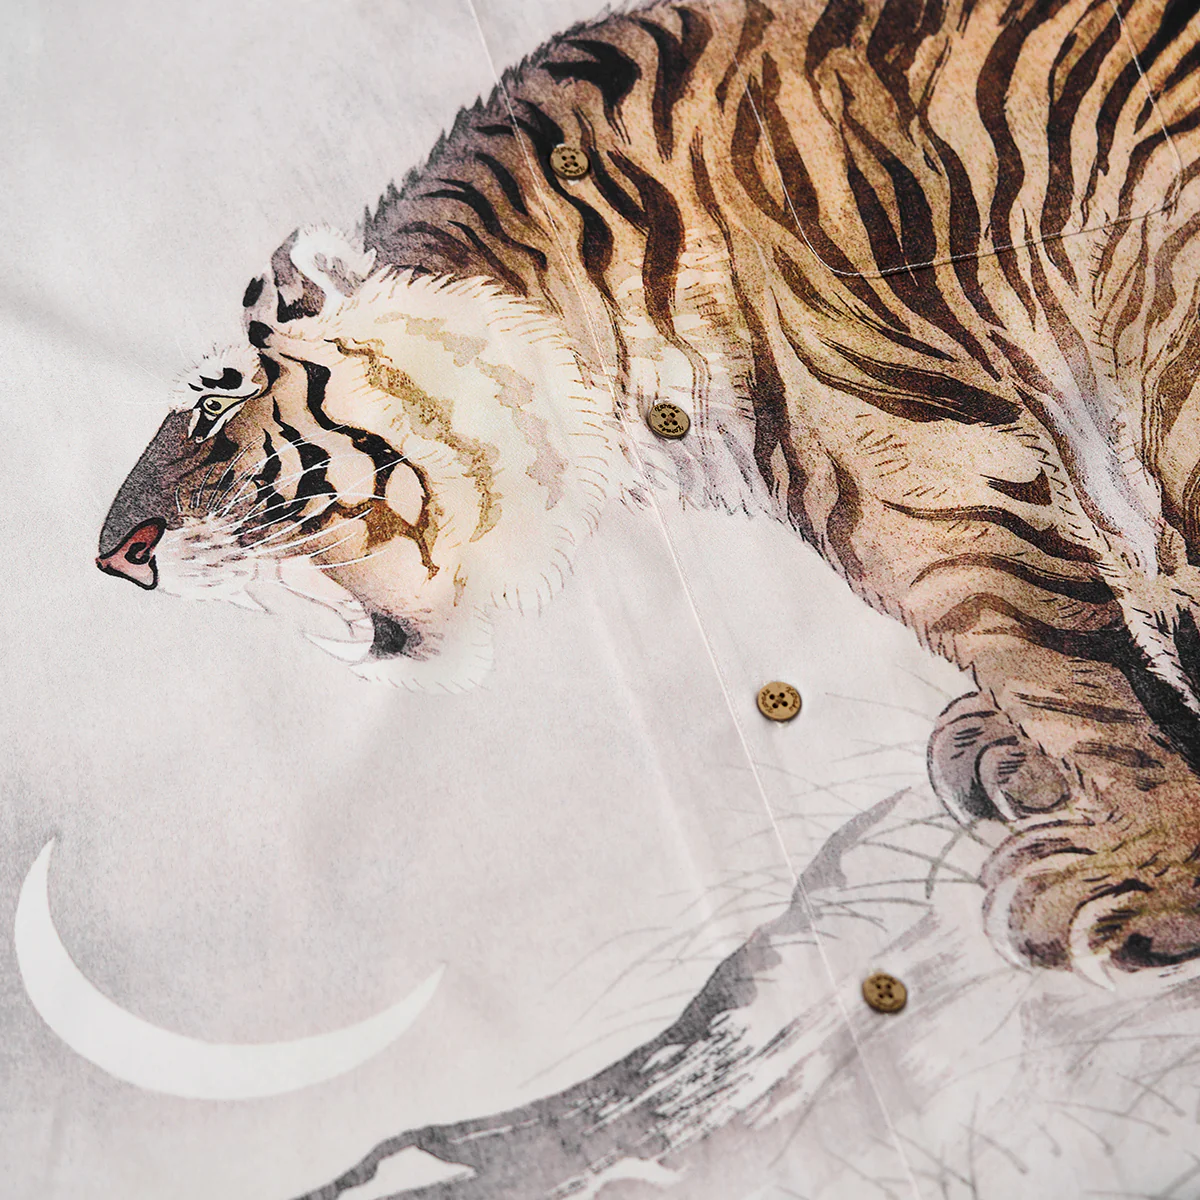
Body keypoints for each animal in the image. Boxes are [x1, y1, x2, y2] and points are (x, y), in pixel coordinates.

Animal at [97, 0, 1200, 981]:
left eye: (213, 407)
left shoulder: (909, 476)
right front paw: (1021, 757)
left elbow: (1053, 660)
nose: (113, 554)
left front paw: (1145, 873)